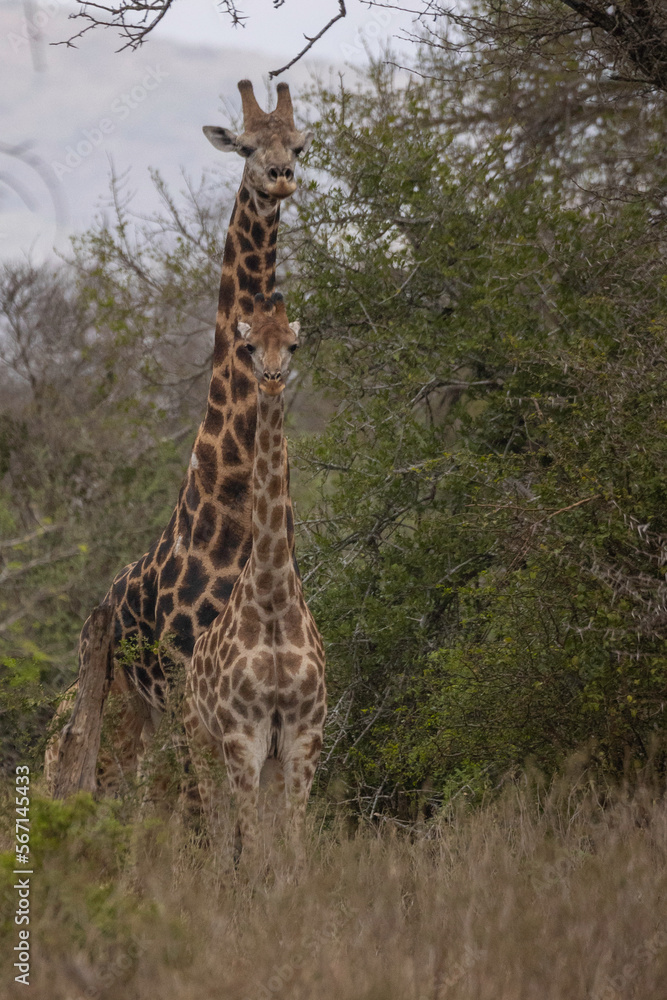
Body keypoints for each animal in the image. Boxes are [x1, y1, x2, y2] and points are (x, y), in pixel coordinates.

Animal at [46, 80, 313, 796]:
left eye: (299, 144)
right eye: (245, 147)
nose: (280, 177)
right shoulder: (190, 685)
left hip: (147, 713)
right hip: (120, 700)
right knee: (87, 774)